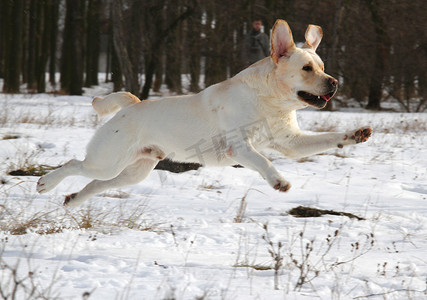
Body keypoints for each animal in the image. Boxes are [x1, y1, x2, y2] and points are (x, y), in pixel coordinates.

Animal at [36, 19, 372, 206]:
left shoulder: (291, 142)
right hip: (107, 160)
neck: (270, 103)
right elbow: (263, 161)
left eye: (323, 67)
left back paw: (72, 201)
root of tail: (132, 104)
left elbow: (328, 138)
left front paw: (357, 134)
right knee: (74, 164)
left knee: (96, 184)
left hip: (131, 171)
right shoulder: (240, 147)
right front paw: (279, 181)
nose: (335, 83)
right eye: (306, 69)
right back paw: (46, 183)